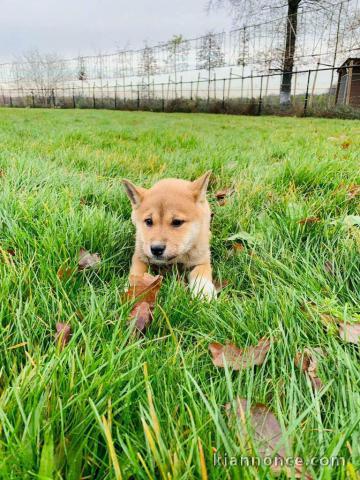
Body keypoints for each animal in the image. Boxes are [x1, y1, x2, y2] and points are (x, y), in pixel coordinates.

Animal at [122, 172, 215, 300]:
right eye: (148, 221)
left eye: (177, 222)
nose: (156, 249)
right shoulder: (140, 256)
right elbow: (136, 273)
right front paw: (133, 290)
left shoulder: (202, 260)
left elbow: (201, 273)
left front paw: (204, 292)